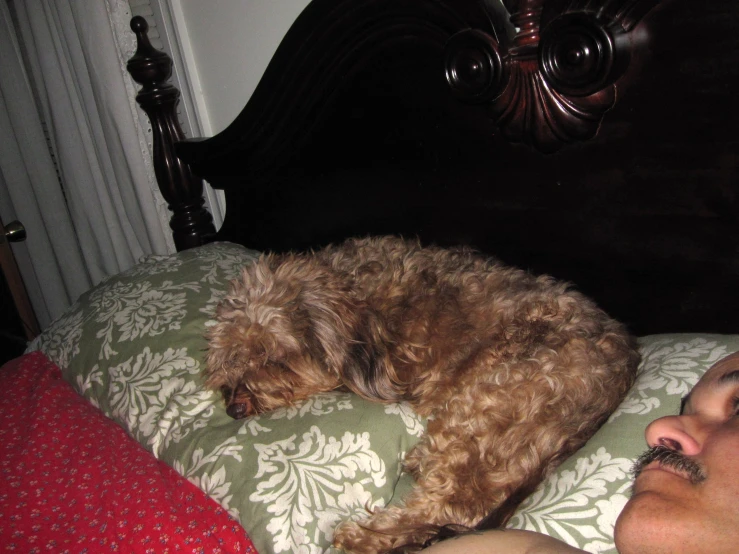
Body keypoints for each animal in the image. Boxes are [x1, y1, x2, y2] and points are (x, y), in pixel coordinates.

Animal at [204, 236, 640, 552]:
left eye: (271, 358)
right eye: (229, 357)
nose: (234, 407)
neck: (354, 293)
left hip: (485, 405)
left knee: (447, 508)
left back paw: (363, 535)